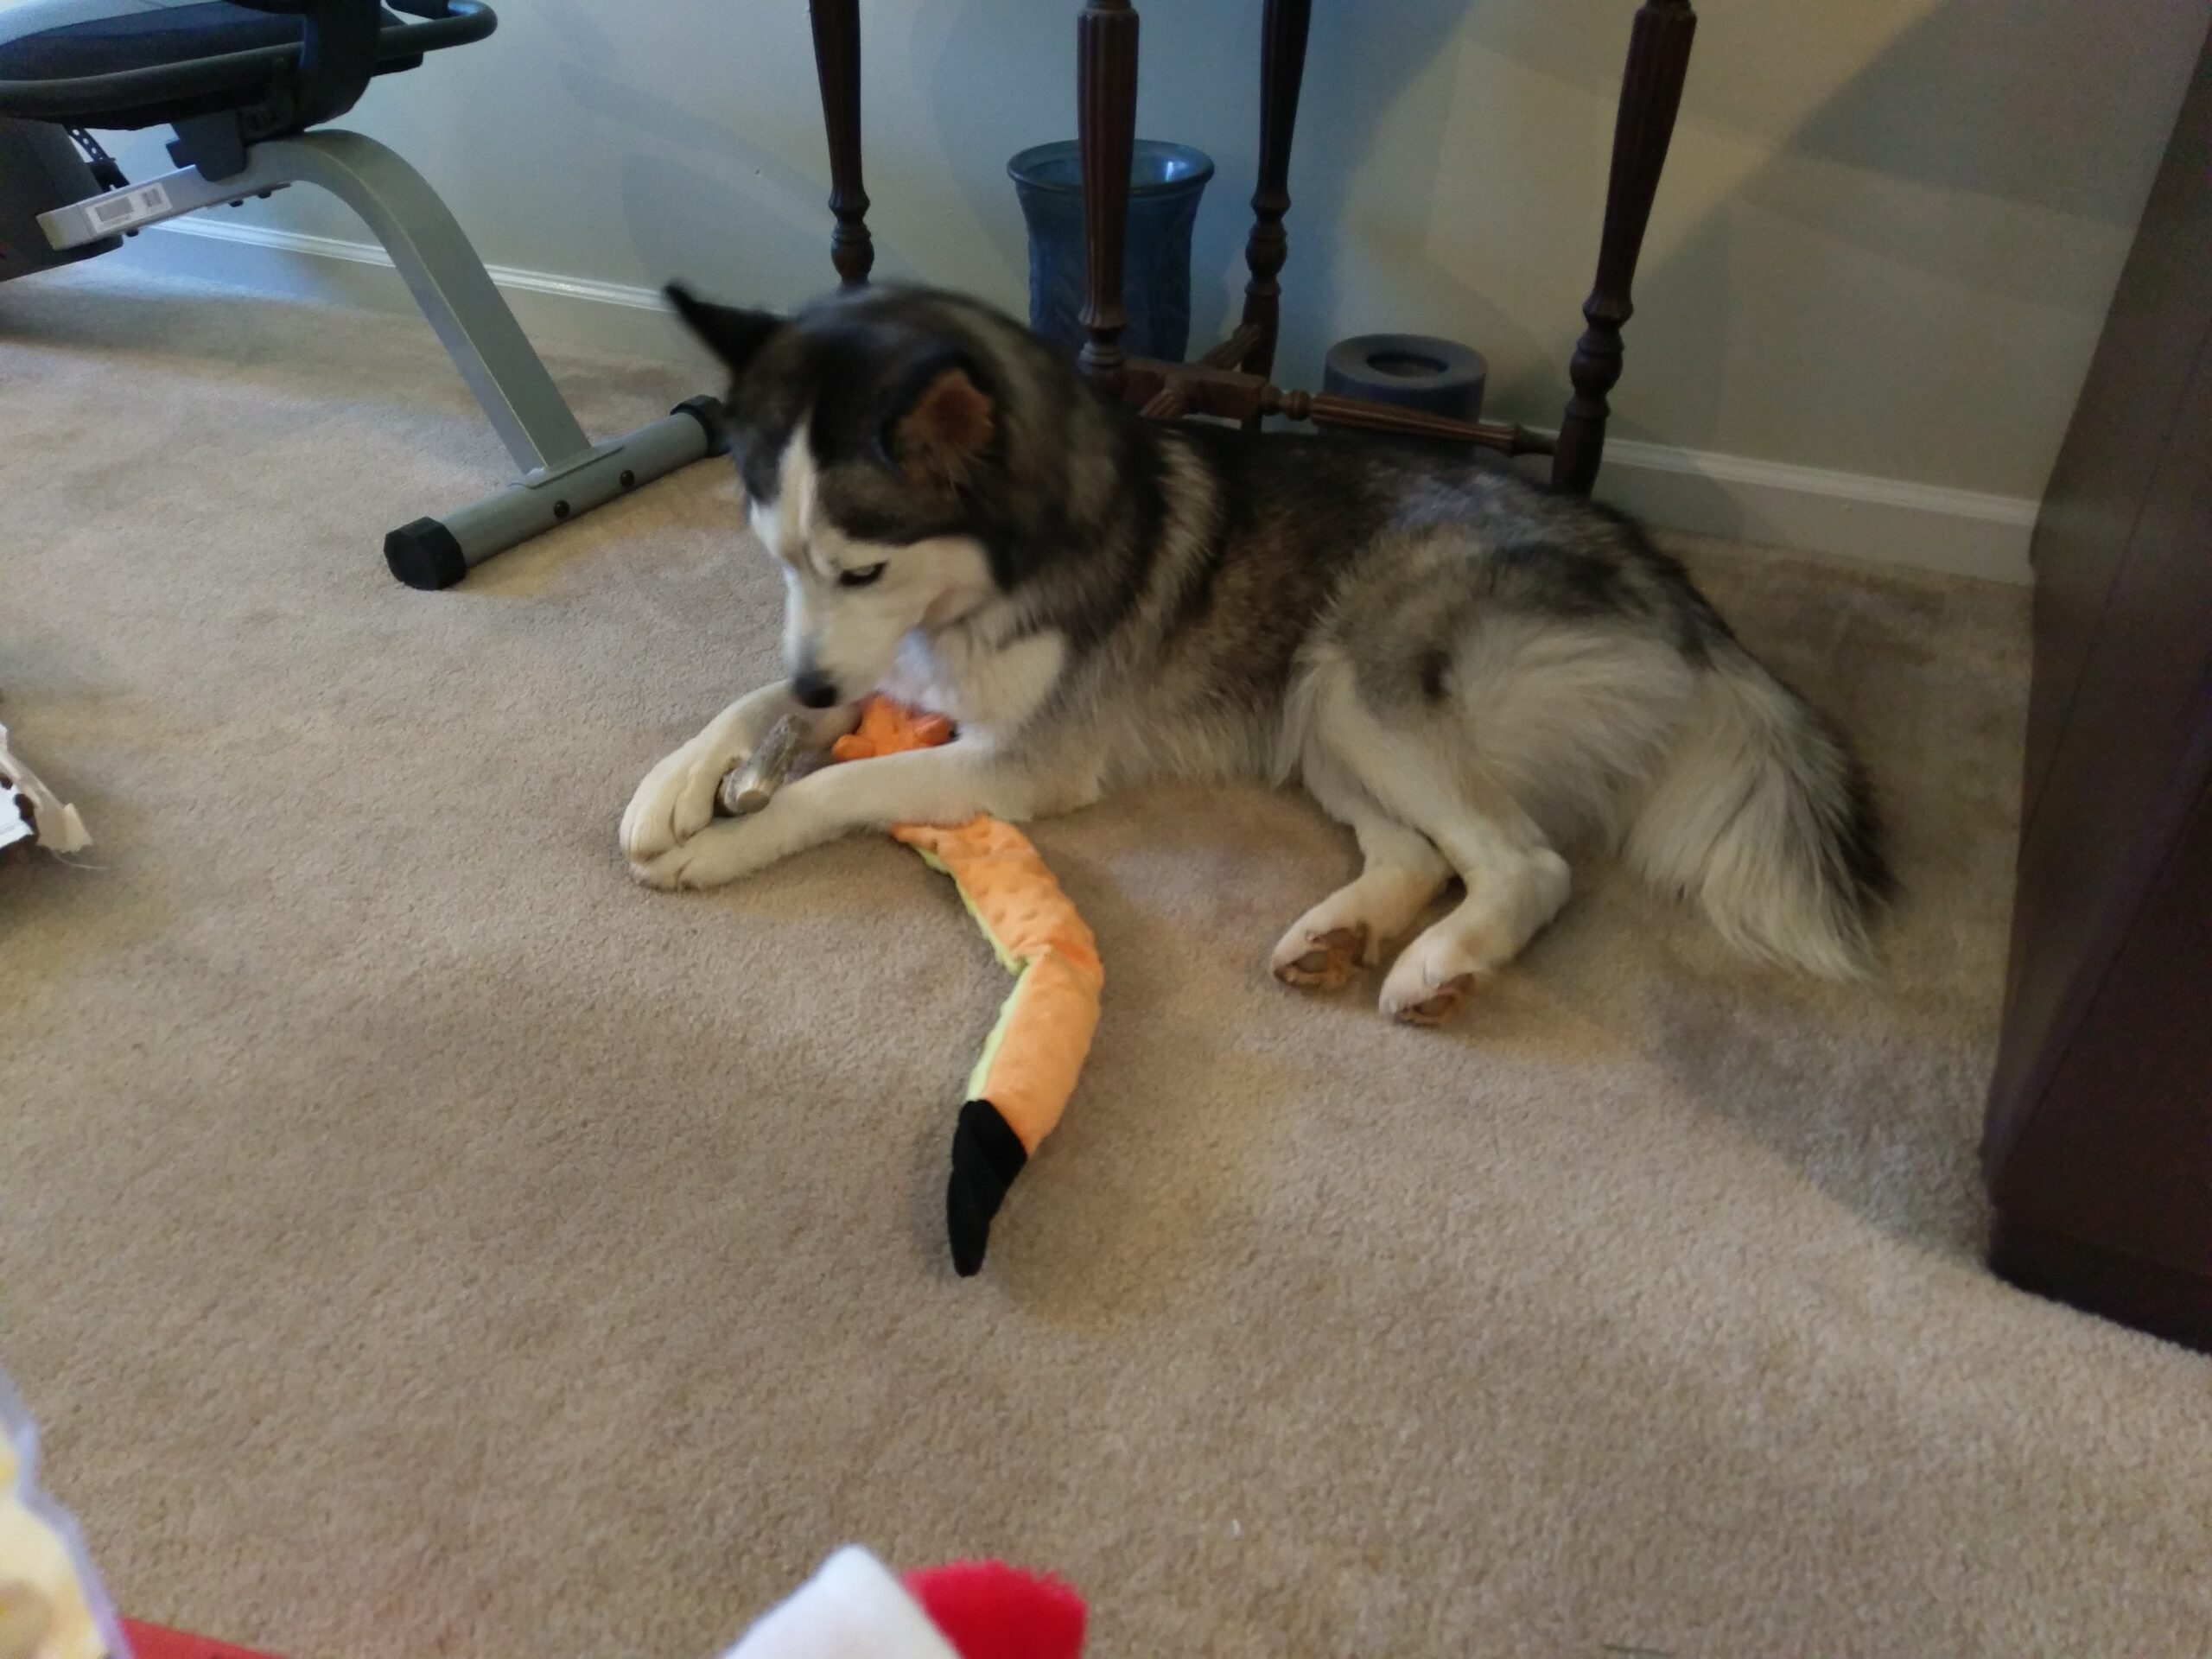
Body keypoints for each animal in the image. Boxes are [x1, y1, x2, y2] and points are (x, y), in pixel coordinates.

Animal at [632, 285, 1893, 1026]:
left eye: (860, 570)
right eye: (776, 557)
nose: (820, 684)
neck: (990, 573)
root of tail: (1668, 583)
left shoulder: (1020, 762)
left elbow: (841, 784)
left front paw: (732, 838)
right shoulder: (880, 668)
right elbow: (752, 701)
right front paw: (679, 784)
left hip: (1359, 675)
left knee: (1526, 862)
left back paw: (1438, 965)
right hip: (1317, 717)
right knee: (1423, 851)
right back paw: (1344, 935)